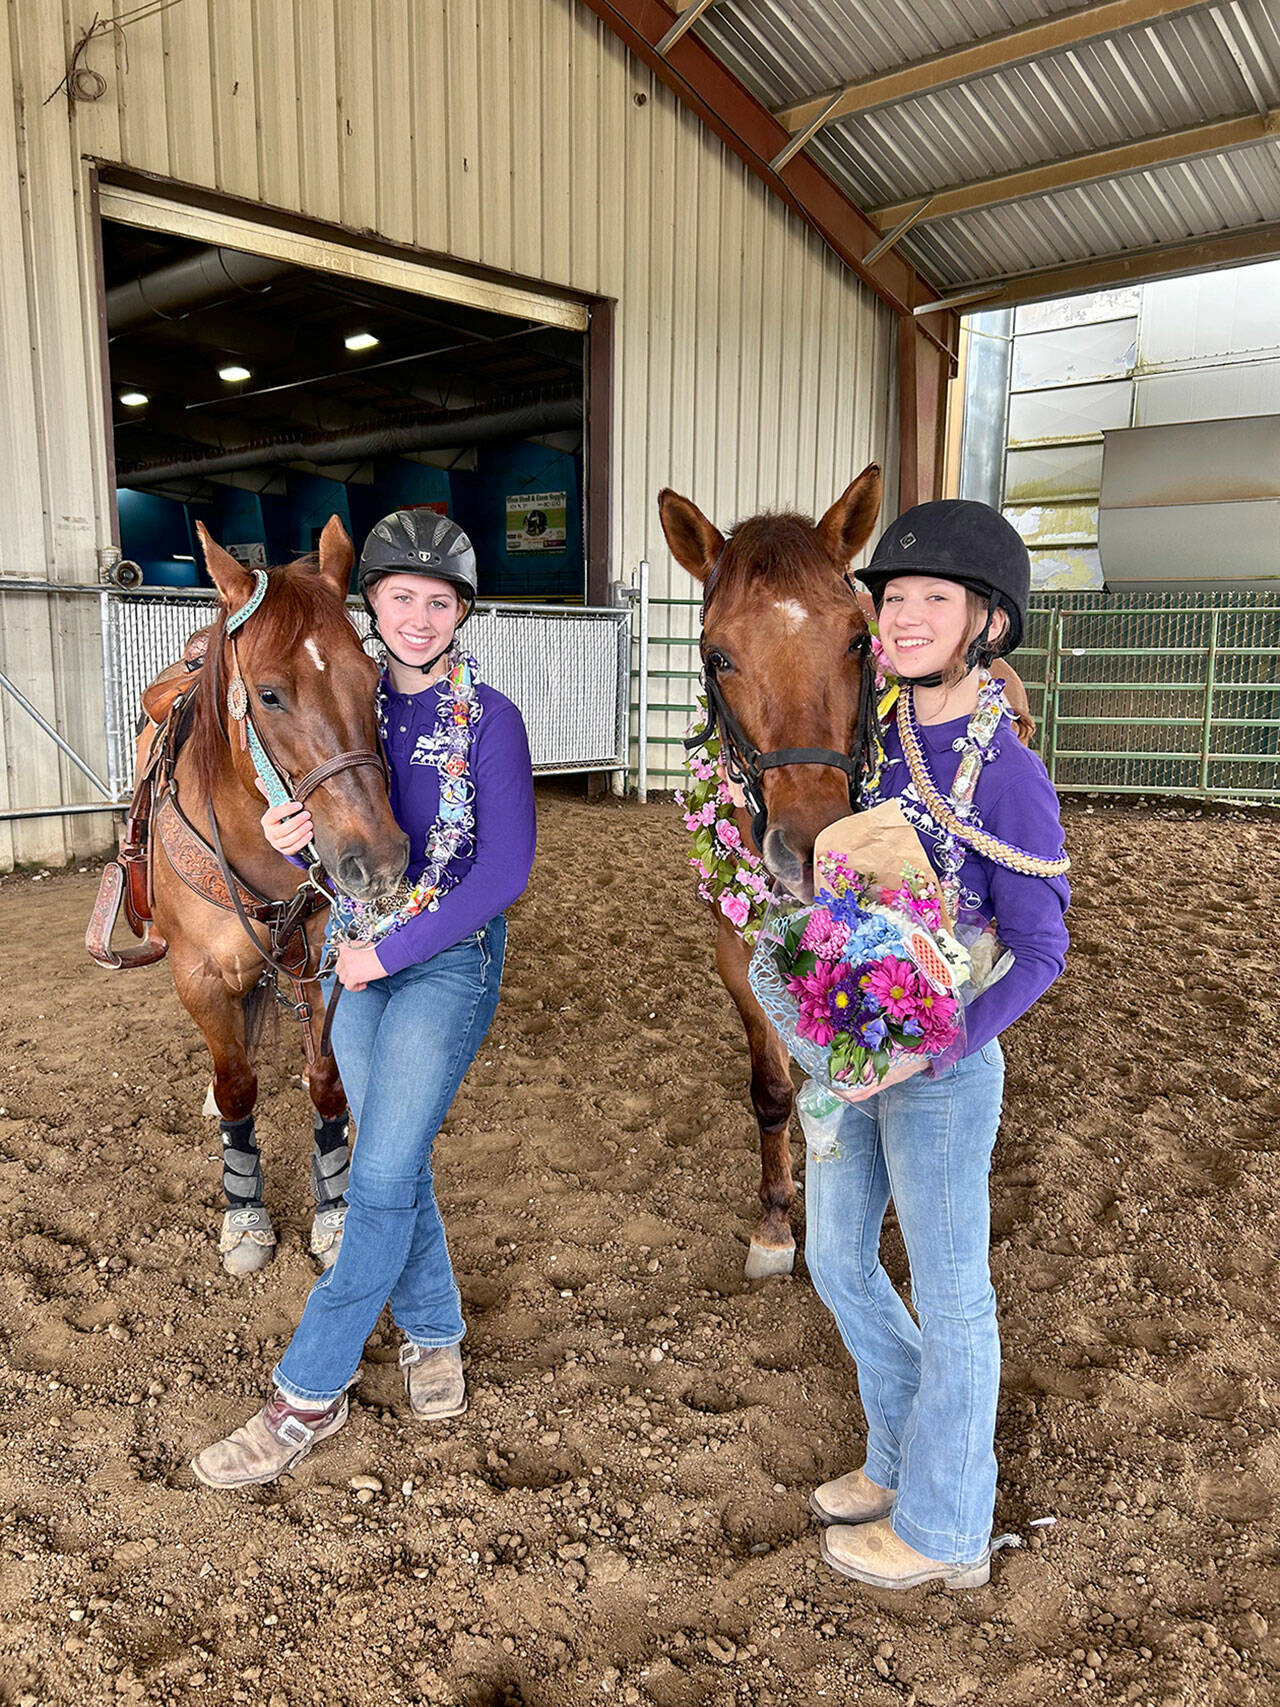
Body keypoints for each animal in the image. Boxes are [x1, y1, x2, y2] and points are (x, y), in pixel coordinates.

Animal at [150, 525, 411, 1276]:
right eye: (268, 695)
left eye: (372, 679)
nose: (380, 859)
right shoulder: (198, 975)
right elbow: (238, 1083)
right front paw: (244, 1214)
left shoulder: (319, 963)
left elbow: (327, 1080)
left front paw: (334, 1210)